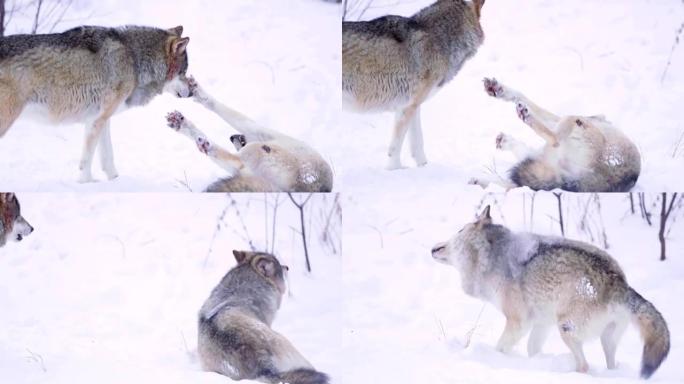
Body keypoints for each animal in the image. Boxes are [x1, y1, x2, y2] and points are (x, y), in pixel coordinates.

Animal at [0, 24, 192, 182]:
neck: (134, 60)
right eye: (183, 72)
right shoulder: (98, 119)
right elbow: (87, 159)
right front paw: (86, 183)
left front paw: (115, 180)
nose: (190, 93)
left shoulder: (98, 118)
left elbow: (107, 155)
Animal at [342, 0, 486, 170]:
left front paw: (423, 166)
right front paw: (395, 169)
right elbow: (395, 147)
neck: (439, 38)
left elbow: (418, 141)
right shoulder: (408, 107)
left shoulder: (410, 105)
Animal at [432, 207, 668, 378]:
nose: (434, 248)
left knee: (584, 366)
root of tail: (619, 282)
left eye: (459, 231)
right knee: (611, 365)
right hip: (605, 340)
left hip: (566, 329)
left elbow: (500, 348)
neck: (491, 256)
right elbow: (532, 350)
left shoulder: (518, 323)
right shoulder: (541, 324)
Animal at [470, 78, 640, 192]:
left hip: (570, 122)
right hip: (547, 170)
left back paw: (524, 117)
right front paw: (497, 89)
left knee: (554, 139)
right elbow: (522, 98)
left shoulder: (558, 122)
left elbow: (530, 104)